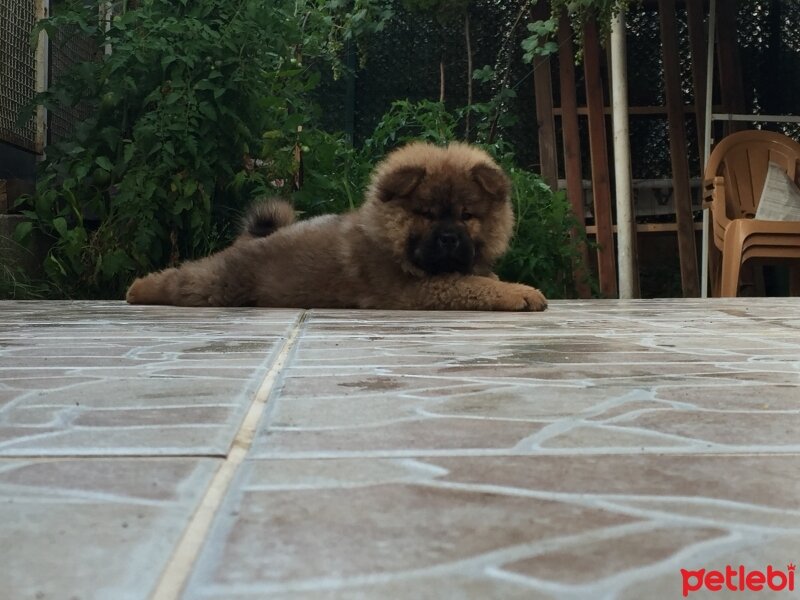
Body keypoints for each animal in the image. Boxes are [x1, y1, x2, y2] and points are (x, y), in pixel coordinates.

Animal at [126, 141, 552, 310]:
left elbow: (480, 277)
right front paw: (522, 292)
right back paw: (137, 289)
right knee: (181, 278)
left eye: (467, 215)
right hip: (219, 284)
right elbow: (473, 287)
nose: (449, 239)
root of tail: (251, 239)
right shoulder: (413, 289)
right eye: (427, 214)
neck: (387, 237)